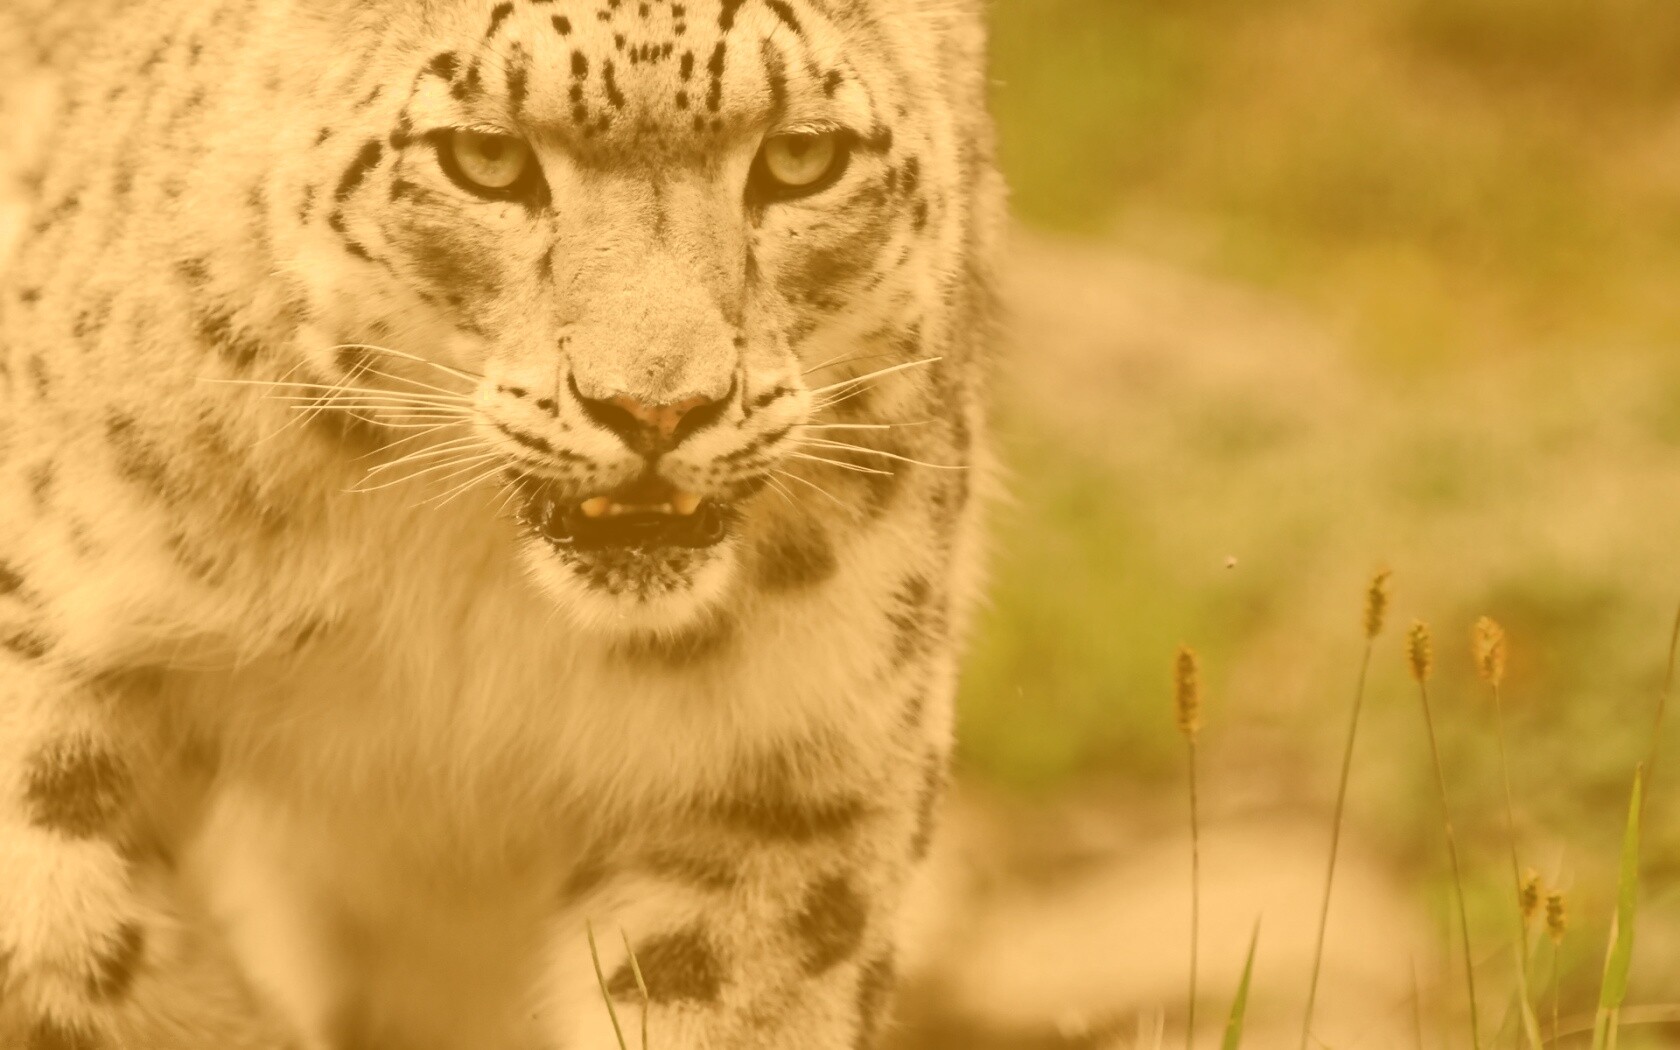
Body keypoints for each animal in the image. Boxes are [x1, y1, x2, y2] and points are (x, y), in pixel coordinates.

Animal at [0, 0, 1003, 1047]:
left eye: (803, 156)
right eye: (486, 157)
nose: (656, 409)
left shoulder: (789, 772)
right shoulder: (56, 624)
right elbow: (72, 935)